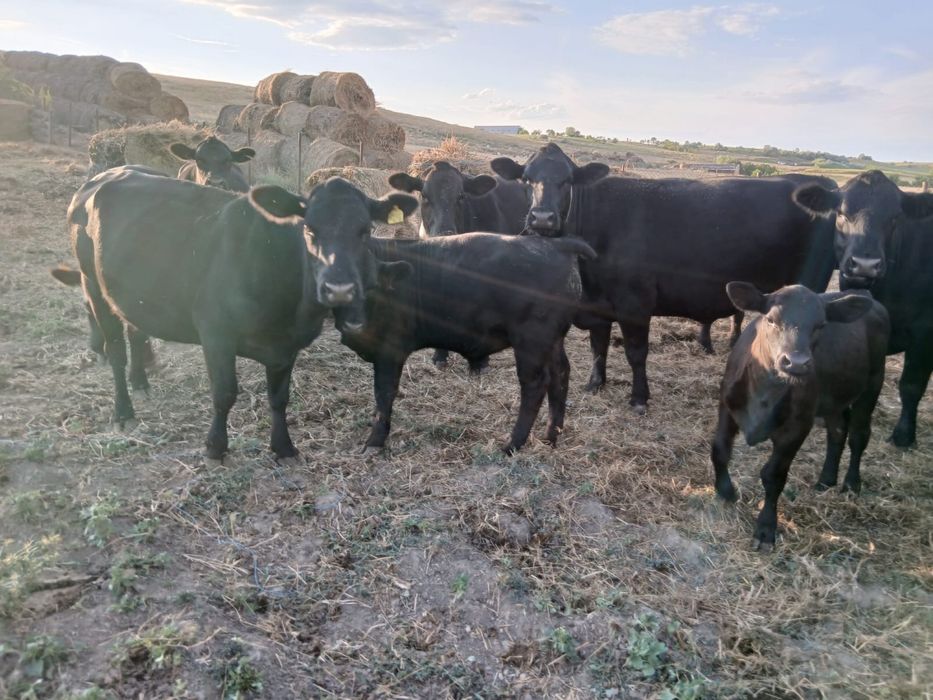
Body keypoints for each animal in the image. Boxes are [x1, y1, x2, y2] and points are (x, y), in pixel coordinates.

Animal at [60, 167, 417, 462]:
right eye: (309, 229)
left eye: (365, 230)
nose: (338, 288)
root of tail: (104, 176)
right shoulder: (215, 332)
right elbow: (224, 393)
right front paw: (215, 447)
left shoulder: (287, 346)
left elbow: (279, 397)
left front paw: (284, 447)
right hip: (92, 284)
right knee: (115, 349)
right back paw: (123, 411)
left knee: (135, 330)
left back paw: (140, 381)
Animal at [337, 232, 596, 454]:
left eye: (369, 281)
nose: (353, 322)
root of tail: (556, 244)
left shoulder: (389, 351)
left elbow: (384, 393)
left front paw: (374, 441)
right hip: (552, 341)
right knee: (560, 375)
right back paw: (551, 436)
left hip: (532, 341)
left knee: (535, 384)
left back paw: (513, 444)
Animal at [491, 143, 837, 414]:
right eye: (526, 178)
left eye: (567, 181)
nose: (542, 218)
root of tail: (819, 182)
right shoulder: (599, 303)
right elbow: (598, 347)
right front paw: (595, 383)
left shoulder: (635, 302)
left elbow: (636, 353)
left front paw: (639, 398)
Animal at [711, 283, 888, 551]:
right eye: (771, 319)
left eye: (821, 325)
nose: (796, 363)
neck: (765, 393)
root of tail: (868, 296)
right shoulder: (727, 407)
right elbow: (720, 449)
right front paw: (726, 491)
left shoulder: (797, 427)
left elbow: (774, 476)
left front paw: (766, 529)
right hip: (833, 399)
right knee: (837, 431)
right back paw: (826, 479)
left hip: (873, 383)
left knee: (859, 435)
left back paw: (850, 484)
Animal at [793, 170, 933, 447]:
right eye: (842, 214)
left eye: (895, 218)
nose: (865, 265)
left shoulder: (925, 332)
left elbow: (911, 385)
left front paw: (904, 434)